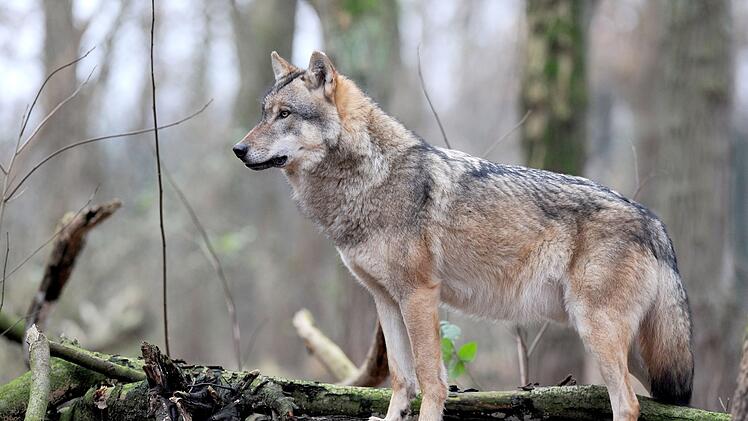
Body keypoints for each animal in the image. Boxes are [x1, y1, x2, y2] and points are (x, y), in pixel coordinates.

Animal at [232, 51, 693, 421]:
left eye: (285, 114)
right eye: (263, 113)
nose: (238, 149)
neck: (369, 179)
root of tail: (655, 221)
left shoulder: (419, 294)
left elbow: (430, 379)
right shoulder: (386, 300)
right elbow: (400, 378)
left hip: (597, 330)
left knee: (628, 404)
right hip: (627, 345)